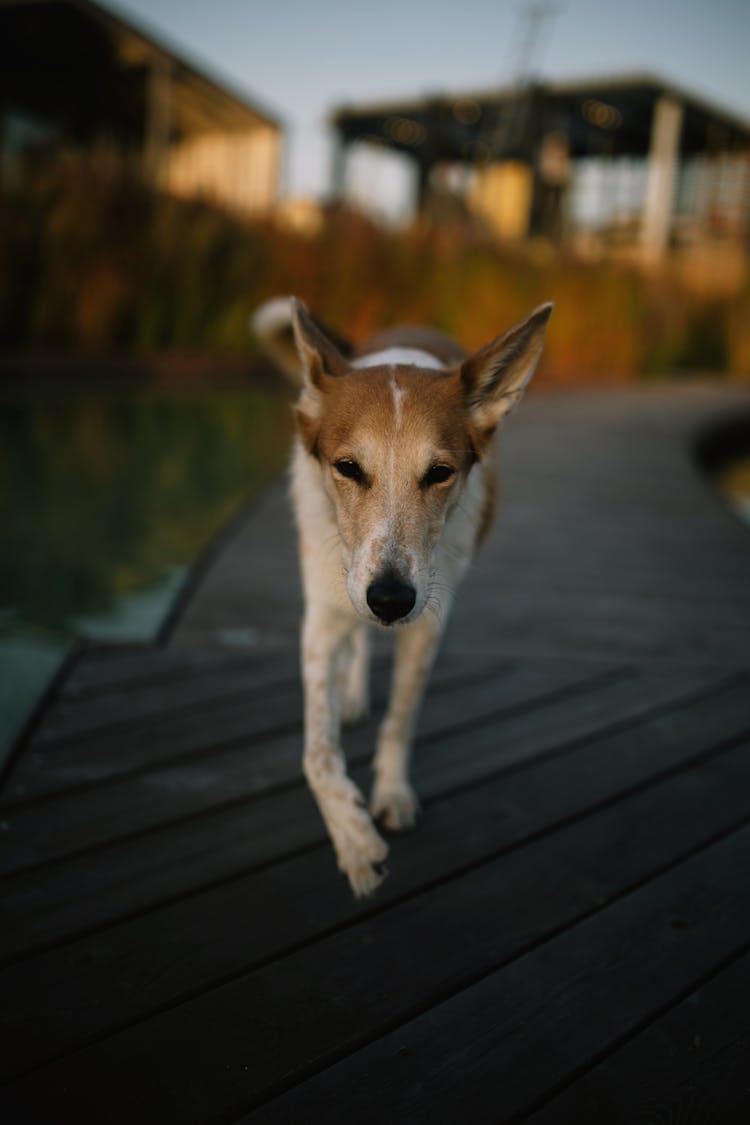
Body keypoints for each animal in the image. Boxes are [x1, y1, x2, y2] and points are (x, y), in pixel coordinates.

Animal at [251, 297, 550, 895]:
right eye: (347, 467)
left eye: (440, 473)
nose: (390, 599)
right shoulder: (322, 617)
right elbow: (316, 754)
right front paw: (354, 839)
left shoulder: (430, 618)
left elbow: (402, 717)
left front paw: (390, 795)